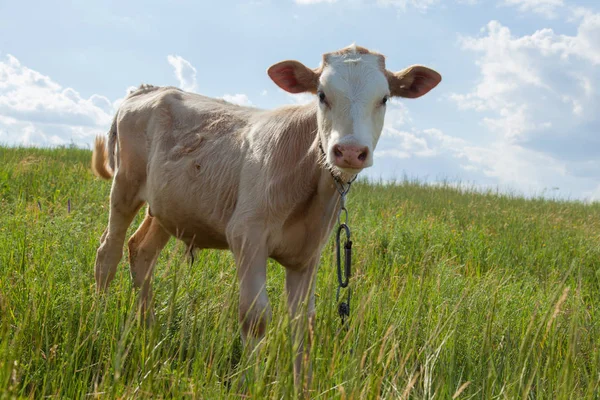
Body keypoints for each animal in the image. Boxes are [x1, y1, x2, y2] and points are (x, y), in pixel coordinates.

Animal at [94, 43, 440, 388]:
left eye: (384, 98)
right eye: (321, 95)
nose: (351, 151)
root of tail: (149, 89)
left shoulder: (309, 253)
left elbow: (304, 322)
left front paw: (302, 386)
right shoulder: (247, 235)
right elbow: (255, 316)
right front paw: (251, 383)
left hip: (169, 206)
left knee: (142, 250)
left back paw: (147, 327)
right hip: (125, 185)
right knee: (108, 252)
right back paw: (99, 320)